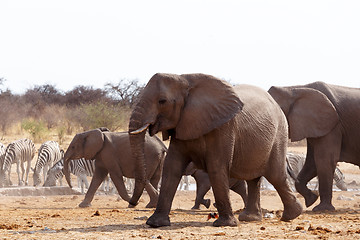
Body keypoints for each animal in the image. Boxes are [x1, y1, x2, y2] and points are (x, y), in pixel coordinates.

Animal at [128, 72, 302, 227]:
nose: (132, 204)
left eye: (162, 101)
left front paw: (224, 224)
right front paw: (155, 224)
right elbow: (172, 166)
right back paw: (250, 218)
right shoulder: (182, 124)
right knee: (254, 178)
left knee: (275, 175)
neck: (186, 80)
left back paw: (292, 215)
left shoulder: (224, 127)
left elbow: (216, 166)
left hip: (279, 134)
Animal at [268, 81, 358, 211]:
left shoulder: (332, 126)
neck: (294, 89)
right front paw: (311, 200)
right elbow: (313, 162)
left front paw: (322, 209)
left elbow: (324, 160)